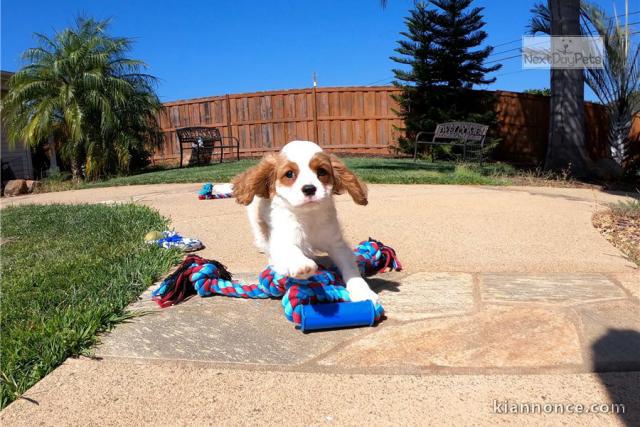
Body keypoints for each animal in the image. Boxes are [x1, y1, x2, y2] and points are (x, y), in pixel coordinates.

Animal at [231, 140, 378, 304]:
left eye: (322, 172)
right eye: (289, 174)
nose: (309, 189)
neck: (308, 216)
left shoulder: (337, 244)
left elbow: (350, 267)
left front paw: (362, 291)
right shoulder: (282, 237)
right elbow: (289, 249)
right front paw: (300, 264)